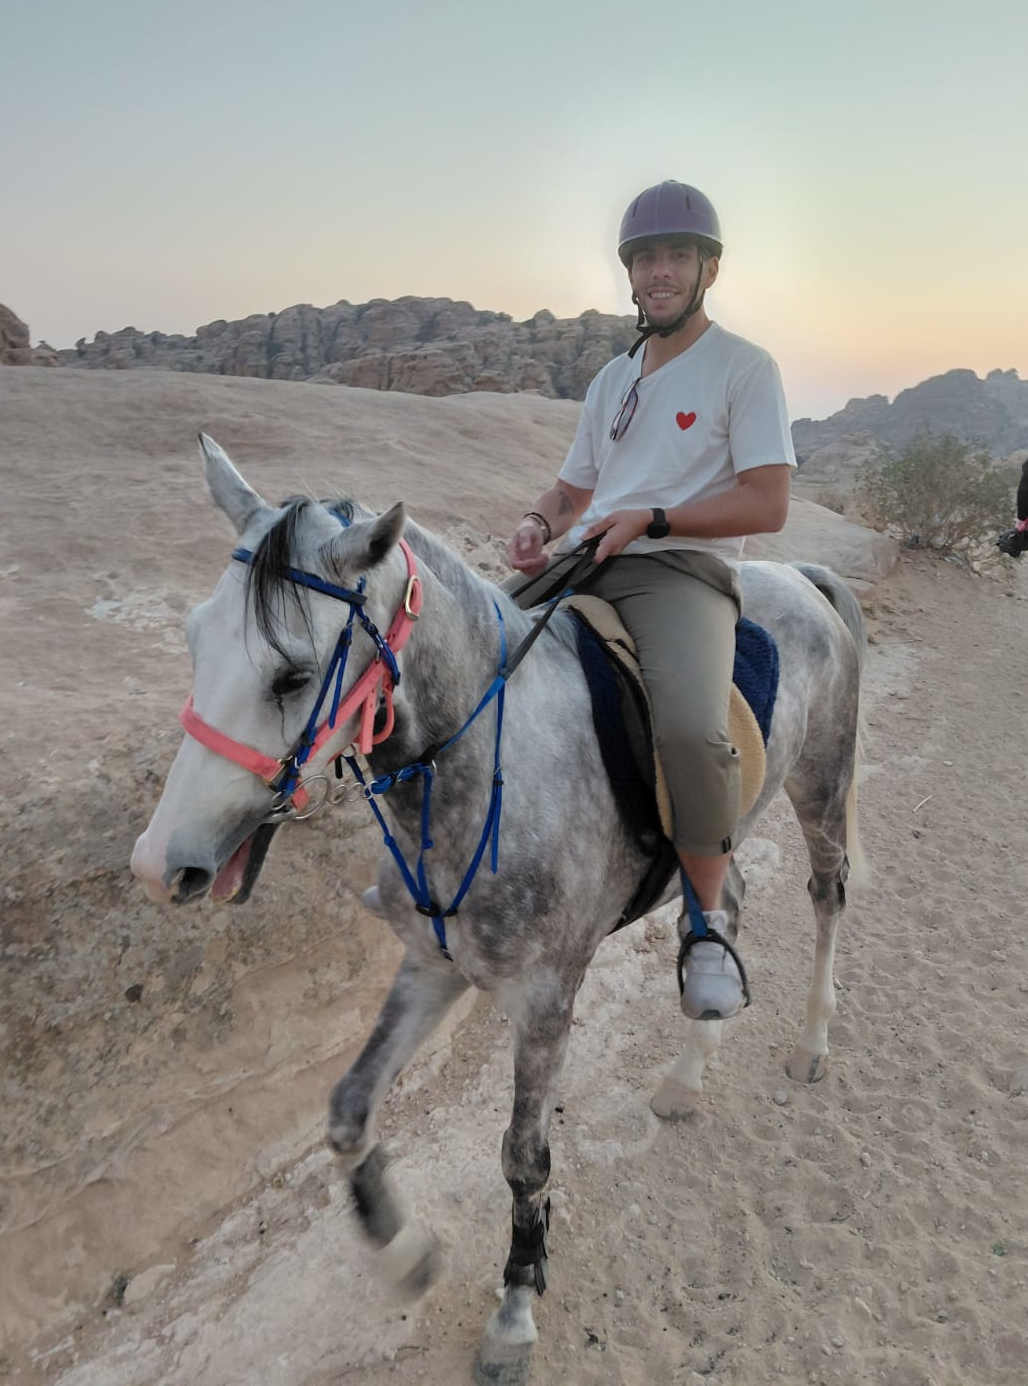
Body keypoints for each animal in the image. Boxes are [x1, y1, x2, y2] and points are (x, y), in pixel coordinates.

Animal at [130, 434, 867, 1385]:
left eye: (292, 673)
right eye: (194, 640)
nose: (158, 866)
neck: (486, 758)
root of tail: (801, 575)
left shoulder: (548, 995)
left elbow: (523, 1157)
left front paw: (516, 1304)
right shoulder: (432, 964)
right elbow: (348, 1111)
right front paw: (404, 1251)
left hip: (822, 786)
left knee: (825, 898)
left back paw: (812, 1042)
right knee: (723, 905)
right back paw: (685, 1074)